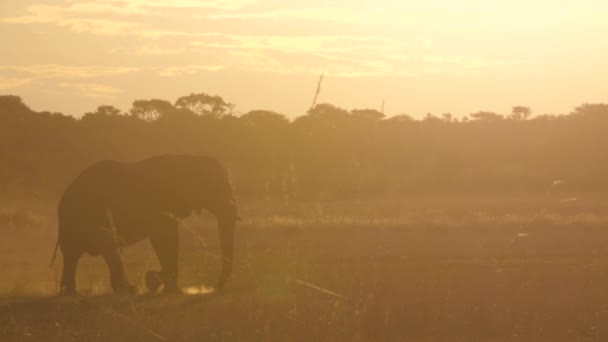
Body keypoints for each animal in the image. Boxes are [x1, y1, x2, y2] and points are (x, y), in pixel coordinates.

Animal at [51, 154, 239, 294]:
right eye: (215, 188)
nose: (215, 287)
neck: (188, 158)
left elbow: (164, 239)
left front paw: (155, 282)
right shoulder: (160, 206)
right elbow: (165, 239)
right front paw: (161, 285)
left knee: (73, 254)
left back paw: (71, 293)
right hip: (93, 216)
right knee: (106, 249)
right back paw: (128, 290)